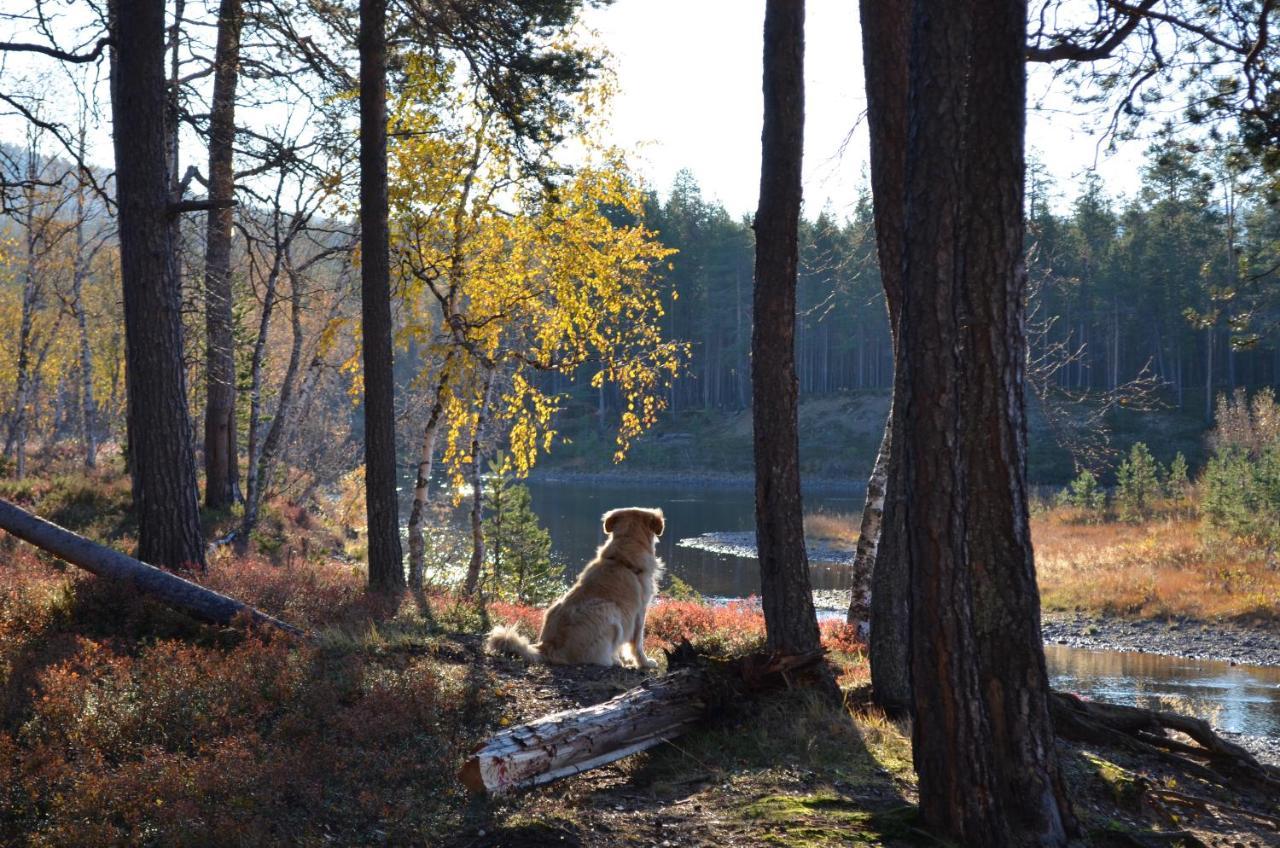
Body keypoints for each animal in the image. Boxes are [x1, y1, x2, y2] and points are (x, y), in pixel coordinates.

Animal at [486, 507, 670, 666]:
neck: (623, 554)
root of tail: (547, 646)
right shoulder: (639, 611)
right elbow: (637, 643)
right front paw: (644, 663)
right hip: (608, 609)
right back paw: (612, 661)